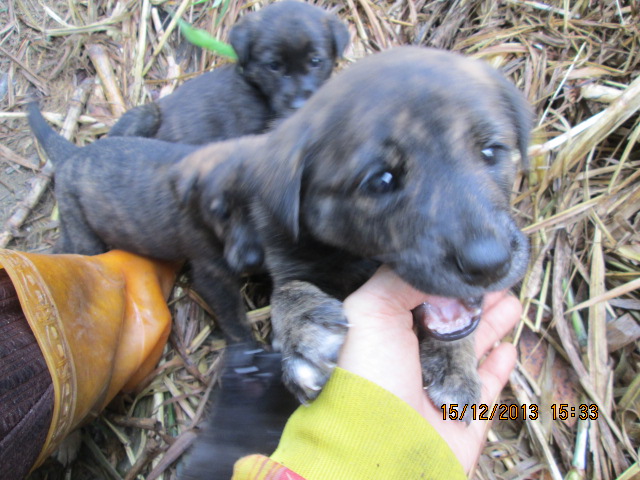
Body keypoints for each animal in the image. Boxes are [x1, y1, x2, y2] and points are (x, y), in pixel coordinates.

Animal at [27, 105, 262, 344]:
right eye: (222, 213)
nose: (253, 260)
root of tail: (73, 154)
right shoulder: (212, 274)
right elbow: (233, 317)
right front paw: (248, 346)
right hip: (83, 232)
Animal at [178, 46, 532, 412]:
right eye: (381, 181)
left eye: (490, 150)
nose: (490, 264)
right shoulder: (286, 255)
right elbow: (287, 292)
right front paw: (304, 333)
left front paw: (455, 365)